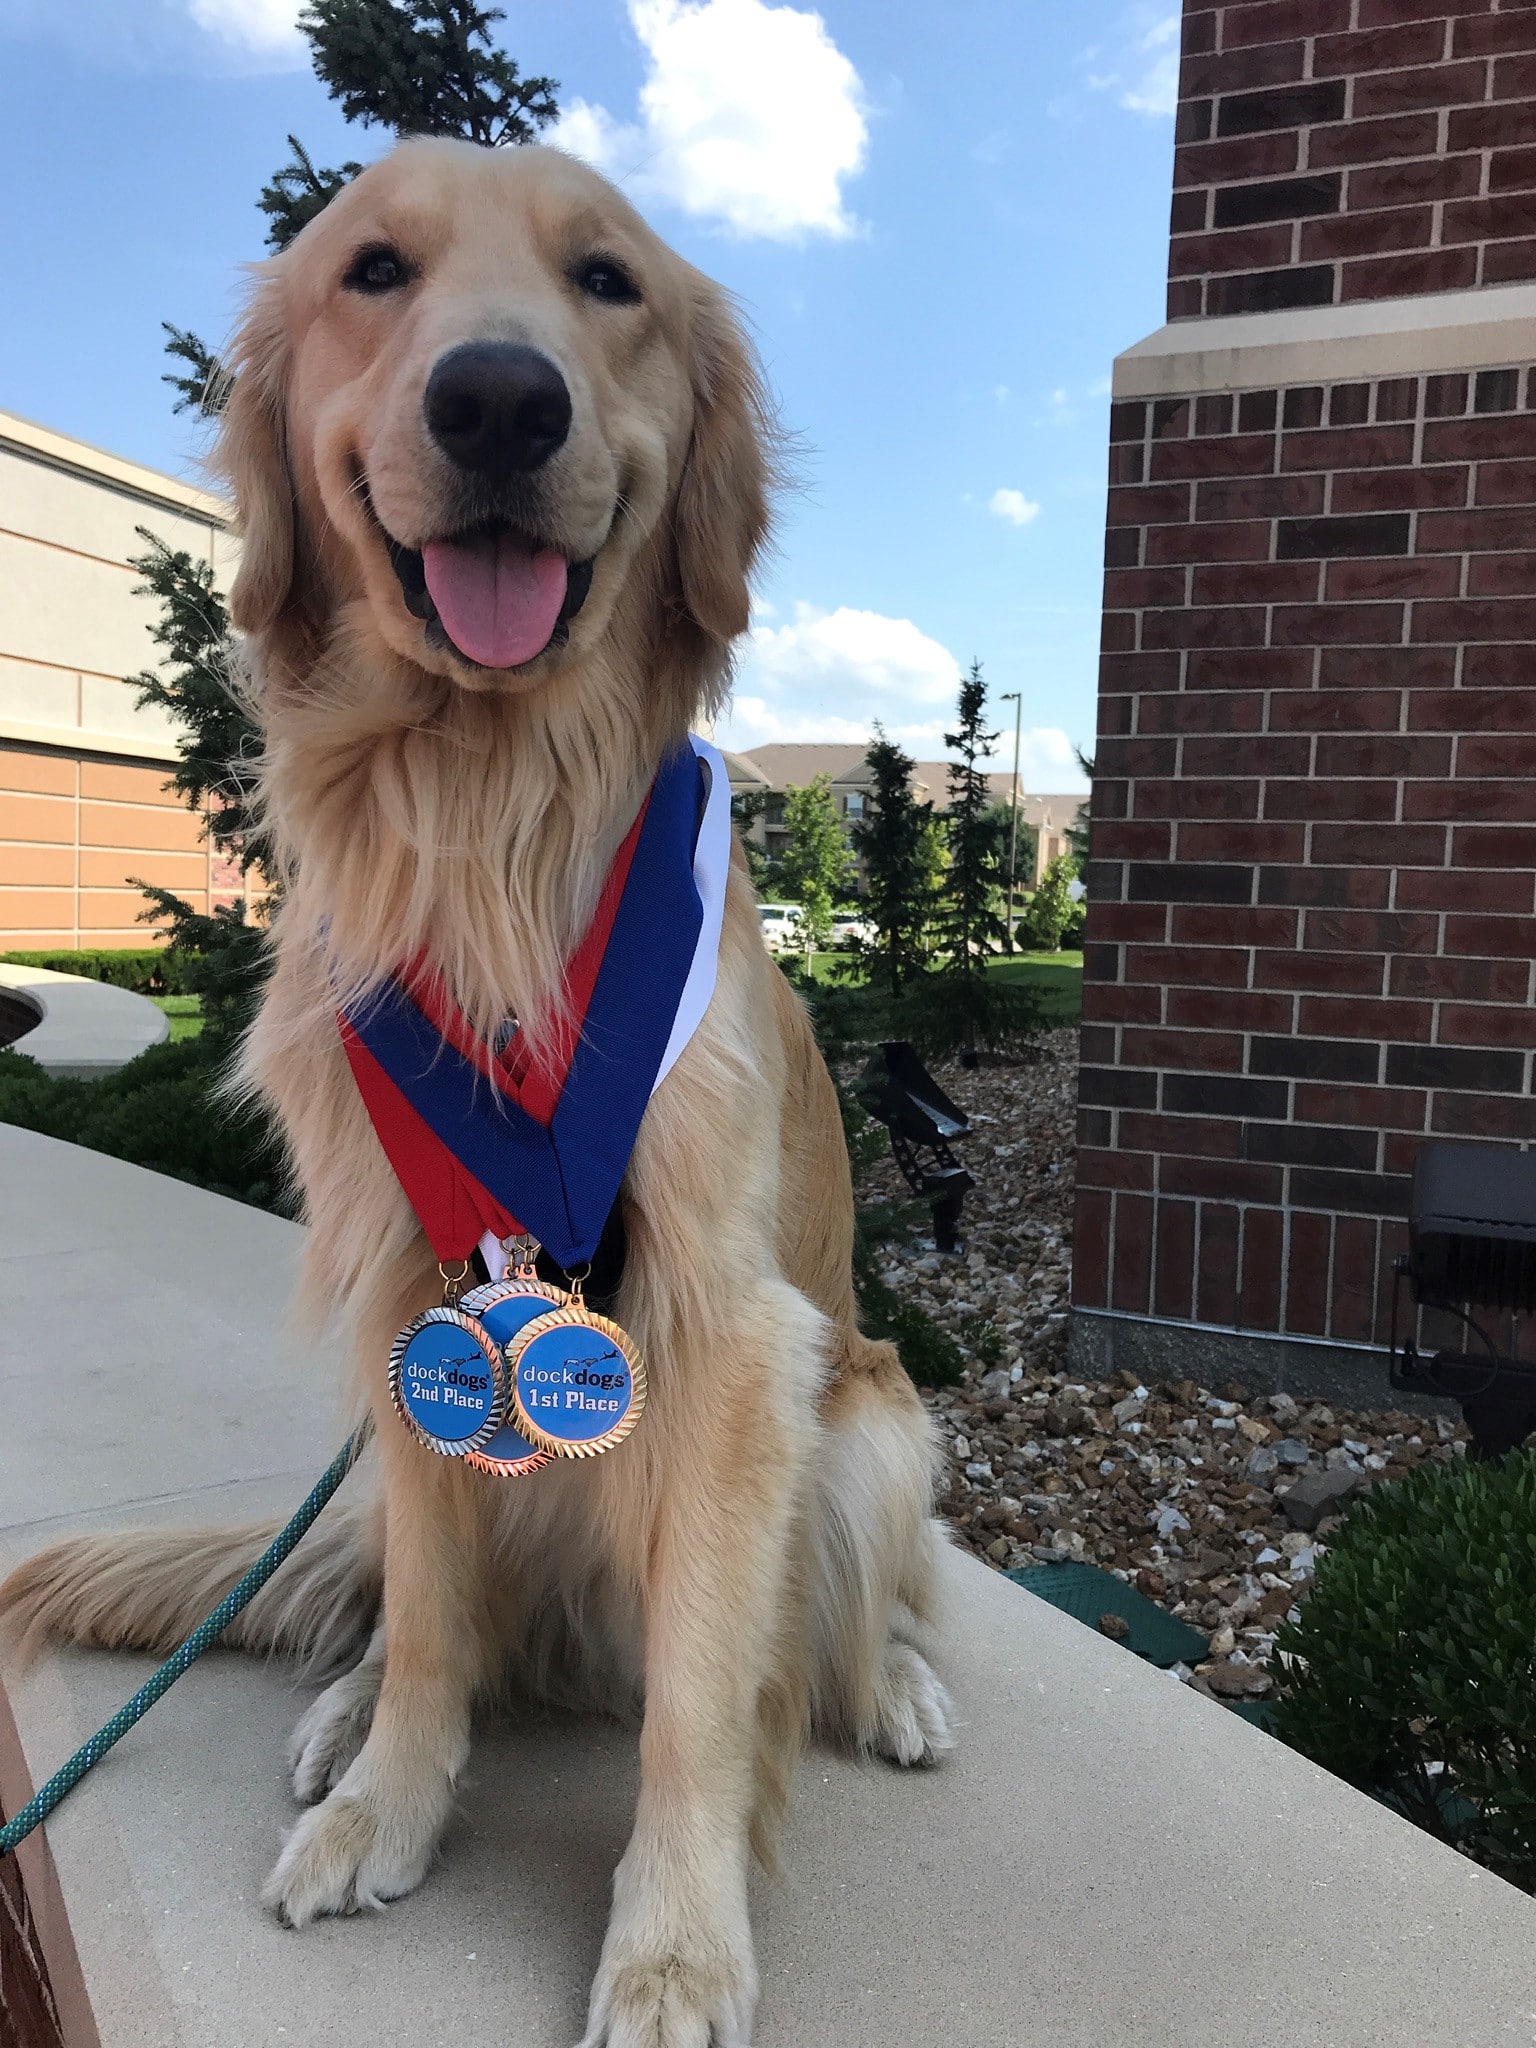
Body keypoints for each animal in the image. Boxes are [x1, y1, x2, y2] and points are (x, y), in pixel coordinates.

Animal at [0, 136, 958, 2039]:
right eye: (374, 270)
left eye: (609, 283)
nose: (501, 398)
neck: (484, 811)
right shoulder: (413, 1307)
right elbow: (437, 1624)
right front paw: (391, 1795)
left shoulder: (737, 1339)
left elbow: (704, 1703)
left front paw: (676, 1944)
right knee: (408, 1606)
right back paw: (342, 1714)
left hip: (883, 1418)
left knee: (846, 1611)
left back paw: (885, 1683)